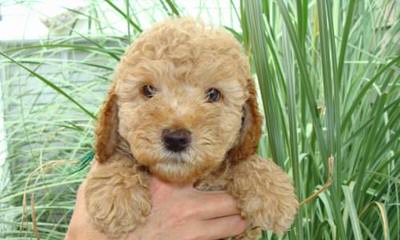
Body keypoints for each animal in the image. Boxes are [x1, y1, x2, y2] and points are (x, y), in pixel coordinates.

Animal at [84, 18, 296, 240]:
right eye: (148, 90)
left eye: (213, 94)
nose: (176, 139)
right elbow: (119, 157)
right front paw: (116, 194)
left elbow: (243, 159)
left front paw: (273, 192)